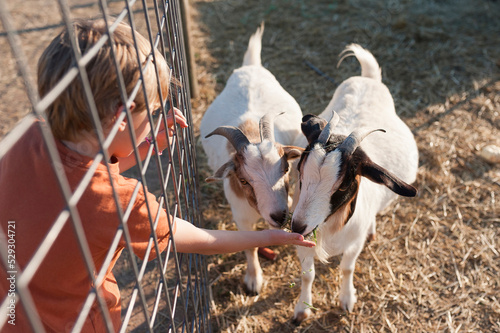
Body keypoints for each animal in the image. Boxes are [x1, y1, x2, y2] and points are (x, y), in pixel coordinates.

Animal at [290, 42, 418, 322]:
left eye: (341, 186)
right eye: (301, 172)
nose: (296, 226)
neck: (331, 226)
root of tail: (368, 78)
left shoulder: (353, 243)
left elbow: (347, 269)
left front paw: (347, 300)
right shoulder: (305, 243)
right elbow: (307, 276)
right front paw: (302, 310)